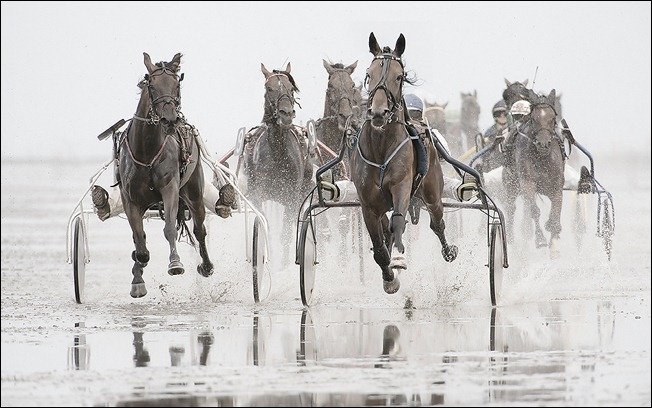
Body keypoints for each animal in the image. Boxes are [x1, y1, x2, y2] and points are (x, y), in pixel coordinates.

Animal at [116, 52, 213, 298]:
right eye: (151, 84)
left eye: (177, 84)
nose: (169, 120)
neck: (147, 150)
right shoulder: (129, 198)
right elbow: (139, 240)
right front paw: (138, 274)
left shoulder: (170, 187)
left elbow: (169, 227)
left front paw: (175, 263)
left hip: (194, 191)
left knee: (200, 230)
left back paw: (206, 266)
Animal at [244, 62, 316, 256]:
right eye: (269, 88)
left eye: (291, 88)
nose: (286, 113)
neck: (278, 155)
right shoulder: (259, 192)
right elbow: (265, 223)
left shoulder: (292, 196)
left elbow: (286, 233)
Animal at [352, 31, 458, 294]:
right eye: (369, 74)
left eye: (398, 76)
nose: (378, 113)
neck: (380, 150)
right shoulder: (367, 204)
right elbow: (379, 247)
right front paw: (389, 278)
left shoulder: (401, 186)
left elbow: (399, 222)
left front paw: (399, 258)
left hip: (432, 191)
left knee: (437, 223)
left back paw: (448, 250)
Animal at [502, 89, 564, 252]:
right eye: (534, 119)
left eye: (552, 118)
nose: (543, 144)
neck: (542, 158)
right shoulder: (527, 182)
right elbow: (534, 210)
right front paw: (541, 239)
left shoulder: (557, 185)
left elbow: (556, 212)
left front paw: (553, 233)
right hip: (510, 183)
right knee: (511, 208)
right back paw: (510, 238)